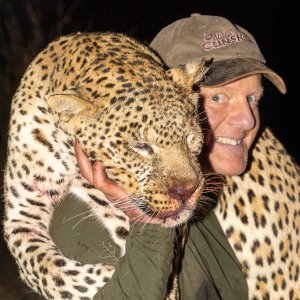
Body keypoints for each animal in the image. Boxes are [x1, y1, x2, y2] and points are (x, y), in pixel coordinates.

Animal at [2, 31, 209, 298]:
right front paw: (109, 275)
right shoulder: (22, 216)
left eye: (190, 138)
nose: (187, 191)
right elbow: (50, 271)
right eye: (141, 146)